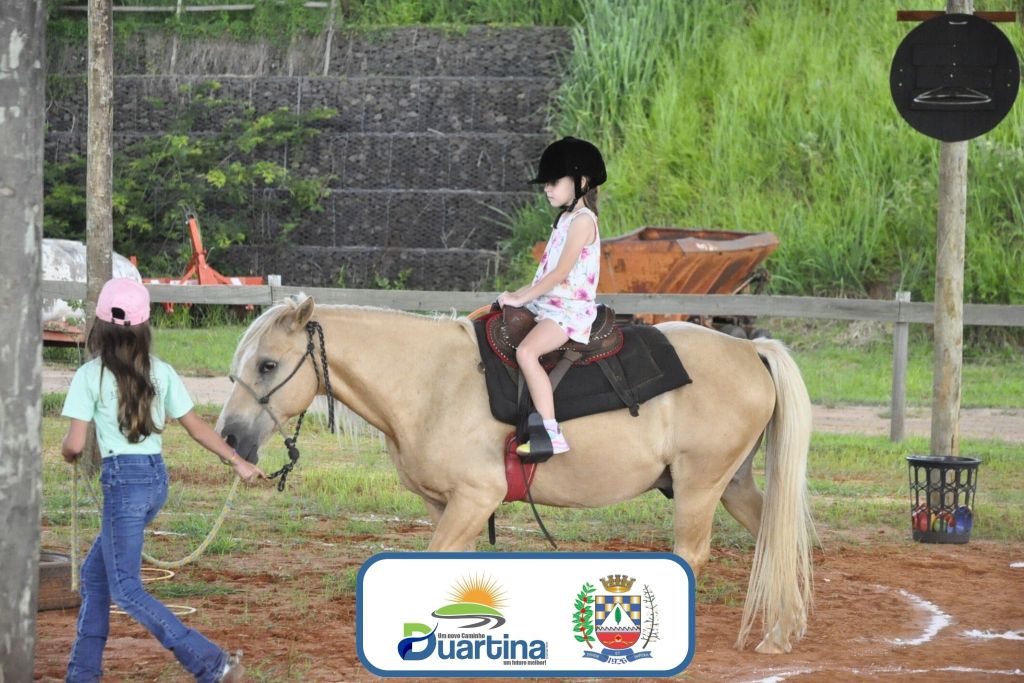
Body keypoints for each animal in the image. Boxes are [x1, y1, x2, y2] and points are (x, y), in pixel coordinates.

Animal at [215, 295, 814, 654]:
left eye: (268, 365)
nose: (229, 440)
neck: (430, 381)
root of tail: (752, 350)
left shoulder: (475, 499)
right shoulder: (445, 504)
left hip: (698, 486)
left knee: (692, 554)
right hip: (733, 485)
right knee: (774, 537)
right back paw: (780, 634)